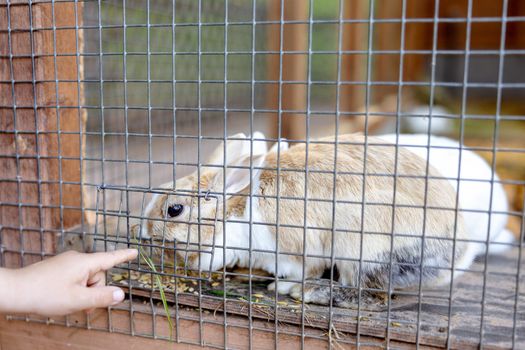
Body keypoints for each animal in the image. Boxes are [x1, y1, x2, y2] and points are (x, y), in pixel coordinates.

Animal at [137, 133, 468, 306]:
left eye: (174, 209)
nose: (142, 231)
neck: (238, 212)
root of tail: (455, 251)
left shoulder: (296, 249)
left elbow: (307, 268)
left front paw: (283, 286)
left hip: (358, 245)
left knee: (366, 292)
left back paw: (307, 292)